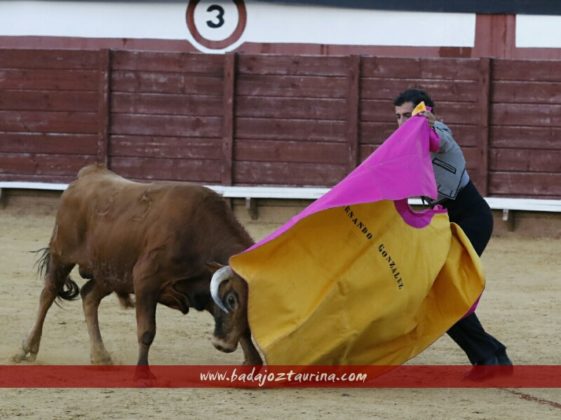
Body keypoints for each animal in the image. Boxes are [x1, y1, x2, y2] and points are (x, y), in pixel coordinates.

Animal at [13, 164, 262, 368]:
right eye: (231, 299)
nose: (222, 345)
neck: (199, 233)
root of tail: (87, 174)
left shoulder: (201, 288)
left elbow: (242, 330)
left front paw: (253, 361)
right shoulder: (145, 280)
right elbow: (147, 330)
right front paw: (142, 370)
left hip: (111, 272)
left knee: (89, 296)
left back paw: (100, 355)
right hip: (62, 255)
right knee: (48, 294)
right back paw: (27, 348)